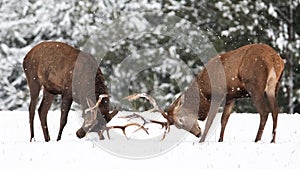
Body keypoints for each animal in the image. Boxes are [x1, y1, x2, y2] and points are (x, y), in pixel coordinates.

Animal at [93, 43, 284, 143]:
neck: (204, 90)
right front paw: (220, 140)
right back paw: (273, 140)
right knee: (275, 110)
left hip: (255, 84)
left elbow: (211, 120)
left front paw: (202, 141)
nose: (197, 133)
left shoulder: (219, 94)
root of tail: (275, 60)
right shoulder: (232, 97)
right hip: (274, 87)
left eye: (181, 120)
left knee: (264, 111)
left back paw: (257, 139)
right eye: (179, 126)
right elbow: (224, 120)